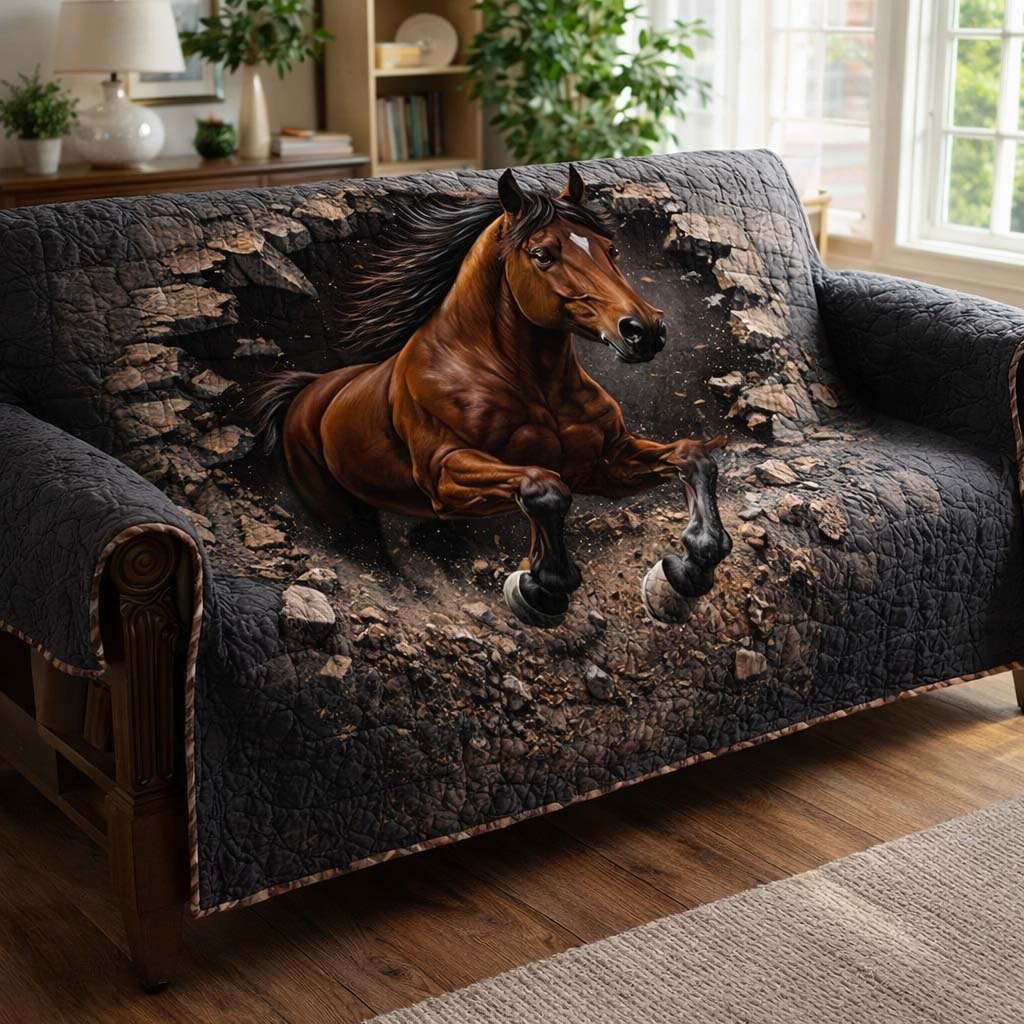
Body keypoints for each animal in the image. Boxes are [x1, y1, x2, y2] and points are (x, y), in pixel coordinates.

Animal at [250, 166, 732, 627]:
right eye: (542, 255)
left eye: (610, 250)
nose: (644, 330)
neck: (531, 384)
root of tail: (306, 392)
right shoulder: (446, 474)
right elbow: (543, 488)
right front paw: (541, 588)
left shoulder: (605, 465)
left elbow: (693, 457)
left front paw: (691, 566)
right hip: (347, 520)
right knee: (373, 558)